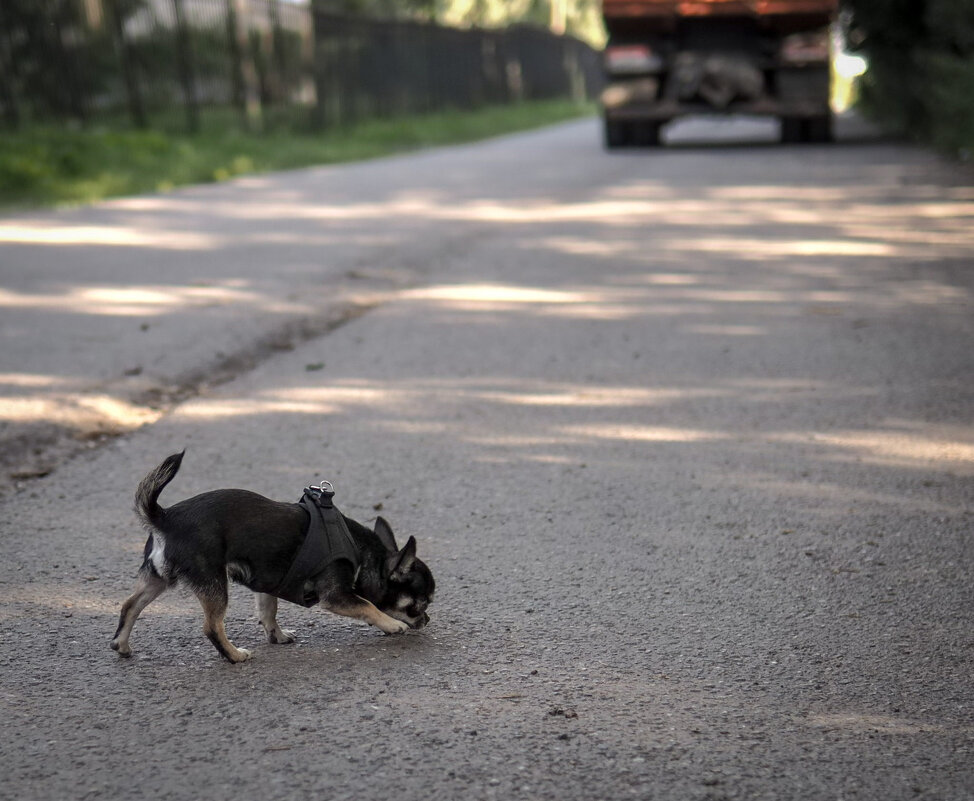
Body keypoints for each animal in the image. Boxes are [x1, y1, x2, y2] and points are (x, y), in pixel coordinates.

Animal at [112, 450, 436, 664]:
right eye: (421, 603)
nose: (427, 620)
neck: (363, 553)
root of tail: (164, 518)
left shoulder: (267, 584)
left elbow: (268, 611)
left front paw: (276, 636)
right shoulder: (336, 597)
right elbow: (367, 605)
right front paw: (390, 624)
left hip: (157, 579)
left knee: (130, 606)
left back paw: (121, 645)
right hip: (213, 583)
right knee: (212, 626)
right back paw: (234, 655)